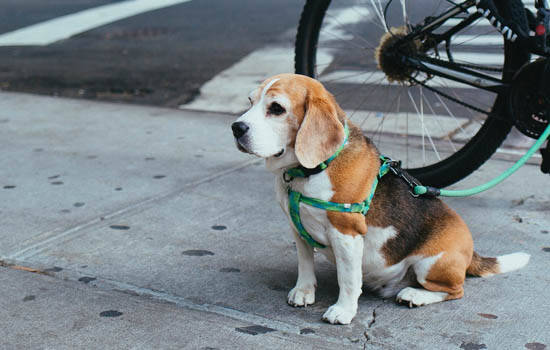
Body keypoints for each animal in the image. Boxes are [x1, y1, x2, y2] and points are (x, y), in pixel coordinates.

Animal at [232, 74, 532, 326]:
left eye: (277, 108)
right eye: (250, 101)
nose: (236, 127)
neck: (308, 171)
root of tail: (471, 253)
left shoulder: (346, 233)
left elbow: (348, 278)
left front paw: (343, 311)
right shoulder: (297, 228)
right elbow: (305, 263)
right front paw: (304, 291)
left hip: (431, 264)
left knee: (455, 290)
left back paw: (415, 295)